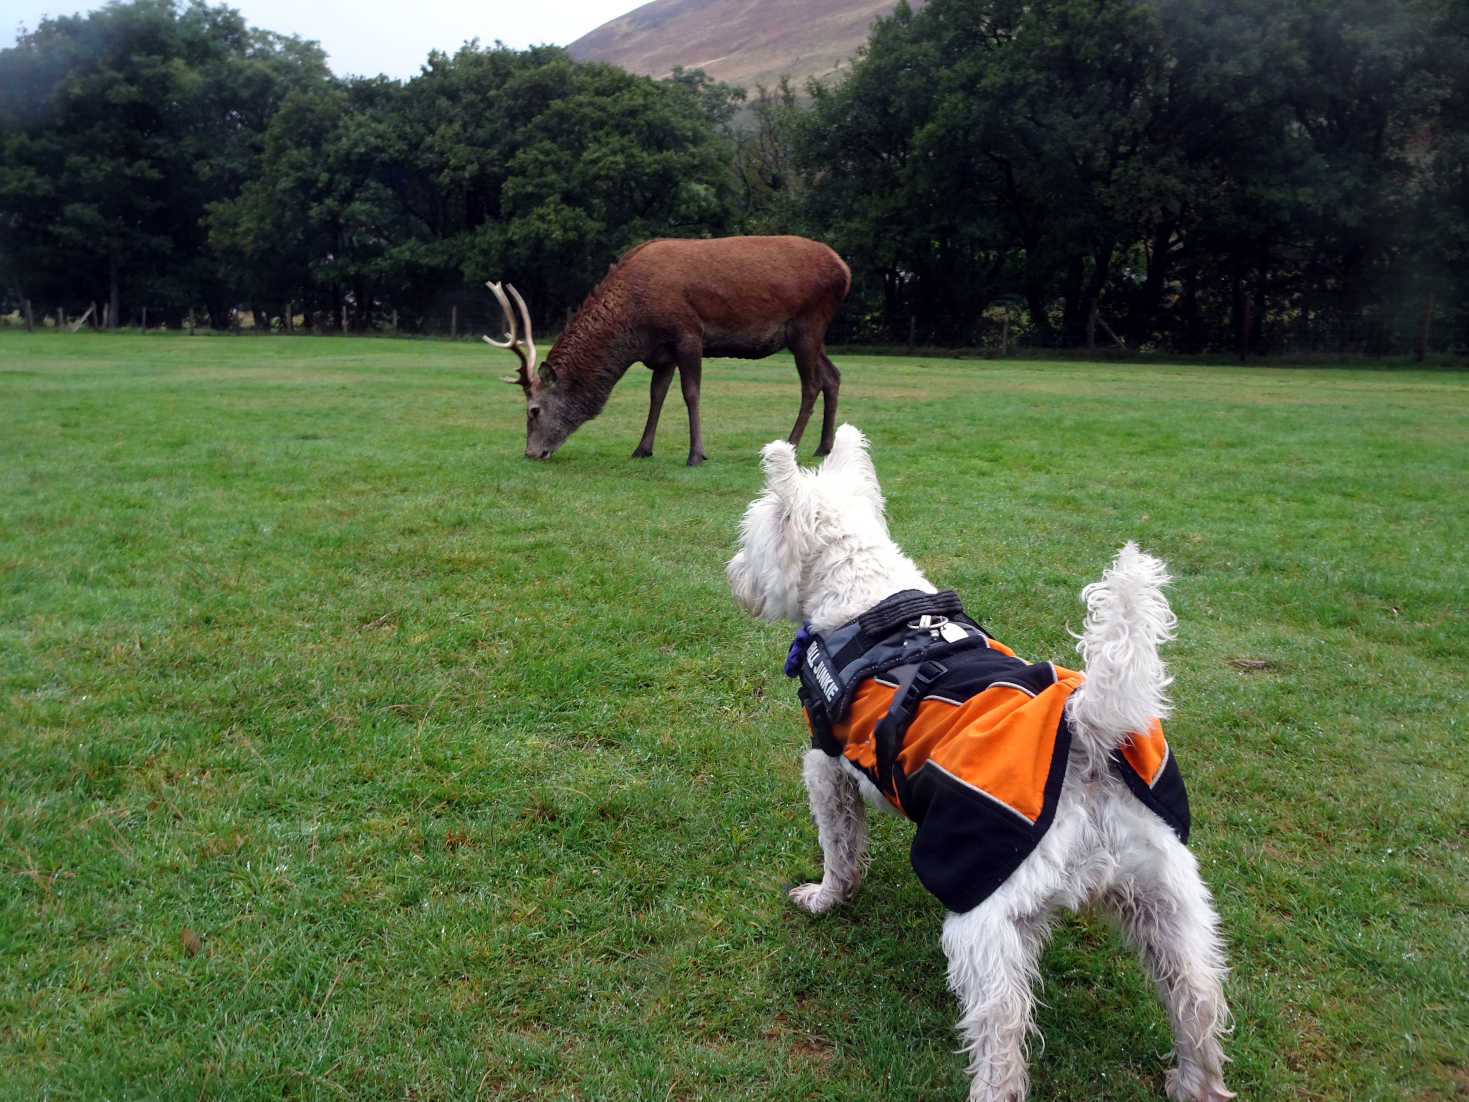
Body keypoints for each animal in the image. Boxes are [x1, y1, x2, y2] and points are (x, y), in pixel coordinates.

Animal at [487, 236, 852, 467]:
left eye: (533, 410)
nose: (531, 453)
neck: (633, 326)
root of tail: (845, 270)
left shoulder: (687, 334)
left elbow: (691, 393)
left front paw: (696, 455)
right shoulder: (661, 352)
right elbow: (656, 395)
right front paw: (641, 449)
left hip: (807, 323)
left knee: (811, 384)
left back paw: (793, 443)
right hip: (809, 334)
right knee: (833, 375)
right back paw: (824, 446)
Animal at [722, 426, 1228, 1102]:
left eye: (752, 532)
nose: (732, 576)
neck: (862, 594)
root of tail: (1088, 737)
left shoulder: (825, 768)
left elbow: (840, 849)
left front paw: (825, 899)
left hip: (982, 916)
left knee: (1004, 1034)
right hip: (1166, 896)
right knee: (1198, 1000)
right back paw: (1193, 1083)